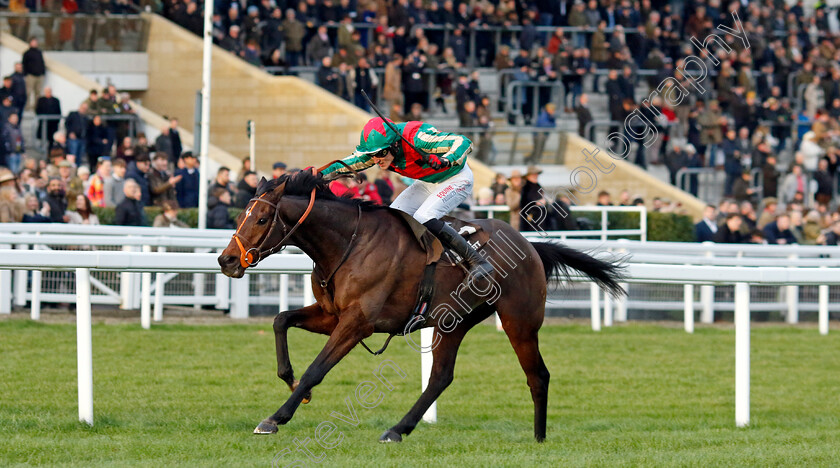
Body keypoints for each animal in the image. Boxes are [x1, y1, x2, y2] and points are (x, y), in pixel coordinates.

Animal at [217, 170, 624, 440]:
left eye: (262, 218)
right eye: (241, 215)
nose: (226, 260)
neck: (349, 242)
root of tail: (530, 245)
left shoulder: (358, 321)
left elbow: (318, 367)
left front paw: (276, 417)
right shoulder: (333, 314)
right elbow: (280, 320)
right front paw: (291, 380)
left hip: (519, 321)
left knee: (537, 374)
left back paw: (539, 439)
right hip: (453, 322)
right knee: (441, 377)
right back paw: (398, 429)